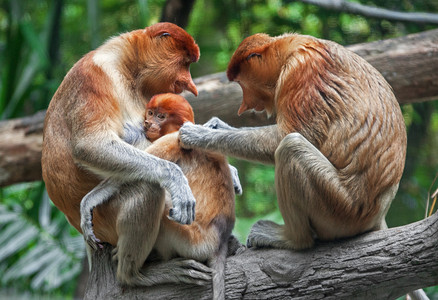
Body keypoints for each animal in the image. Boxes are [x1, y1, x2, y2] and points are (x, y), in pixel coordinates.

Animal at [40, 22, 209, 286]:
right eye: (185, 63)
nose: (188, 83)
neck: (129, 69)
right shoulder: (94, 77)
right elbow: (91, 144)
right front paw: (177, 180)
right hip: (106, 221)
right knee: (149, 188)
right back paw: (136, 276)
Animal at [80, 93, 234, 298]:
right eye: (151, 113)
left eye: (161, 117)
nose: (147, 122)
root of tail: (219, 240)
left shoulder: (172, 138)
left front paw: (88, 203)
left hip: (189, 240)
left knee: (150, 186)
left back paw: (132, 275)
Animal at [178, 32, 408, 250]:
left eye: (241, 83)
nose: (245, 106)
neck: (290, 48)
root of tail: (377, 215)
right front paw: (215, 125)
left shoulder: (302, 72)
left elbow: (288, 135)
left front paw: (197, 134)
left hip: (342, 209)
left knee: (291, 146)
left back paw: (292, 239)